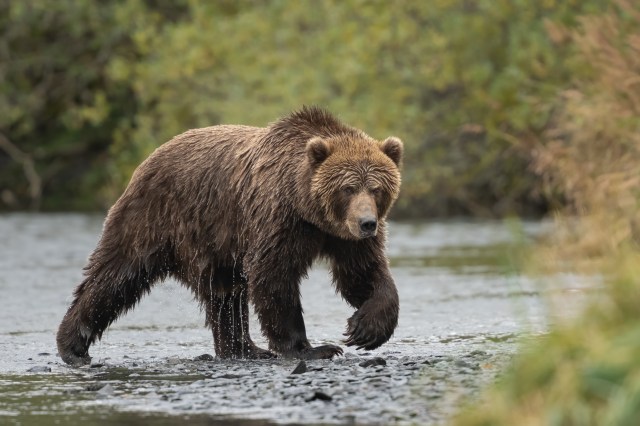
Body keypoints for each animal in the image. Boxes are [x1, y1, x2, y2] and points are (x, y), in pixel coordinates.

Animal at [56, 106, 403, 366]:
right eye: (348, 187)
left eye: (376, 187)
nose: (367, 223)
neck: (308, 209)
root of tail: (147, 160)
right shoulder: (277, 220)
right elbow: (273, 276)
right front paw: (312, 348)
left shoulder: (343, 239)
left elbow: (361, 274)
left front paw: (366, 329)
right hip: (155, 218)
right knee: (116, 275)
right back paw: (72, 345)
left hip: (214, 247)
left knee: (225, 295)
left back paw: (245, 349)